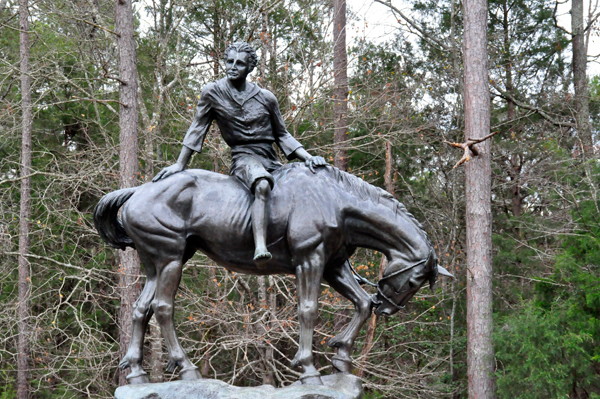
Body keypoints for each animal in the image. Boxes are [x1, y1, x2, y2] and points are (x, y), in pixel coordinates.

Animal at [94, 164, 450, 386]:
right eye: (415, 281)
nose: (388, 308)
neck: (335, 201)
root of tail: (138, 191)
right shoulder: (310, 261)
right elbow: (308, 311)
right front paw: (307, 368)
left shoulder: (333, 266)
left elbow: (361, 304)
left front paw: (341, 354)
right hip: (170, 260)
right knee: (163, 309)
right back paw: (187, 368)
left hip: (156, 264)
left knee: (141, 310)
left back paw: (137, 372)